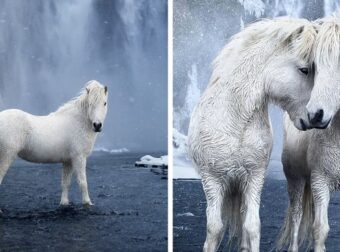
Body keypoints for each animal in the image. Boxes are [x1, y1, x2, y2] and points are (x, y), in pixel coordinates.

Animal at [187, 18, 318, 252]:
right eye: (304, 70)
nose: (315, 117)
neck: (235, 122)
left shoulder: (254, 178)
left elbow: (252, 226)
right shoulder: (212, 181)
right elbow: (215, 229)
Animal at [278, 17, 340, 252]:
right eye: (315, 66)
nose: (315, 114)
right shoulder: (320, 181)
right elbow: (320, 229)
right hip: (295, 179)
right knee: (296, 215)